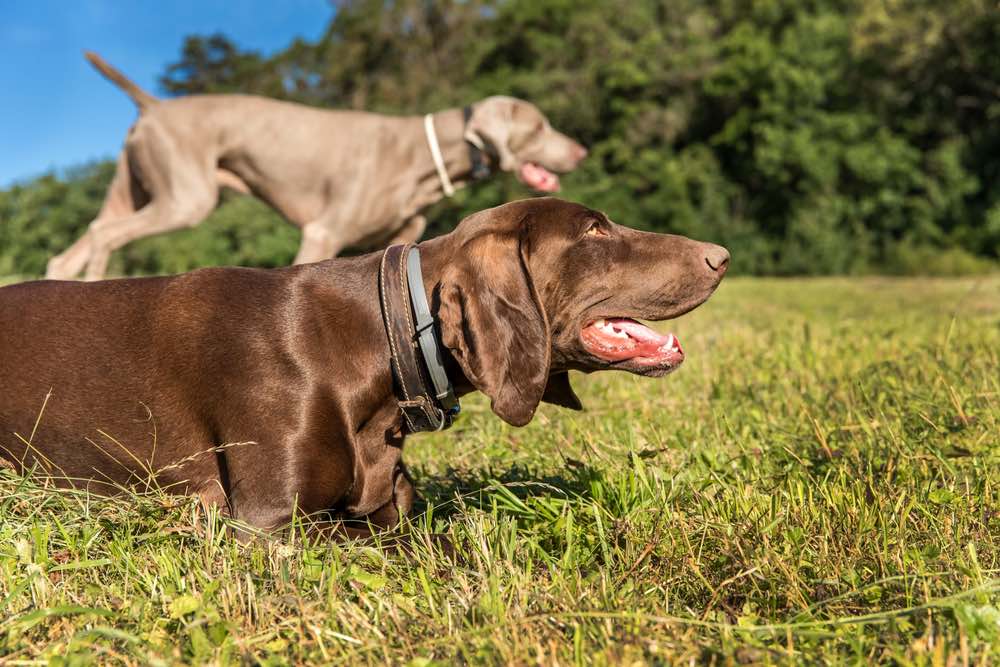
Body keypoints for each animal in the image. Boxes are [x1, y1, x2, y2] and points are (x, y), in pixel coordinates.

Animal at [47, 52, 588, 280]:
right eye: (540, 126)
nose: (580, 150)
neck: (425, 153)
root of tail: (154, 105)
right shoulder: (322, 233)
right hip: (187, 198)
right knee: (103, 238)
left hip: (132, 189)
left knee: (71, 250)